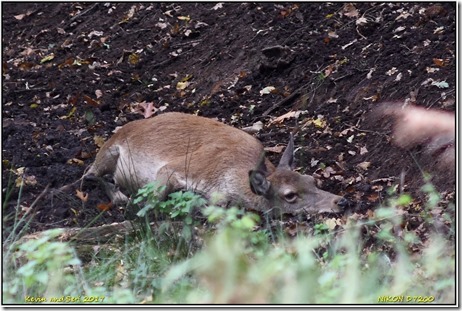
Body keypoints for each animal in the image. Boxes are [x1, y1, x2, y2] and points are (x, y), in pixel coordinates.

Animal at [78, 112, 346, 217]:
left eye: (312, 180)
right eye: (289, 195)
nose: (340, 201)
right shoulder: (175, 168)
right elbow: (153, 201)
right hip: (109, 151)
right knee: (89, 173)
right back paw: (118, 194)